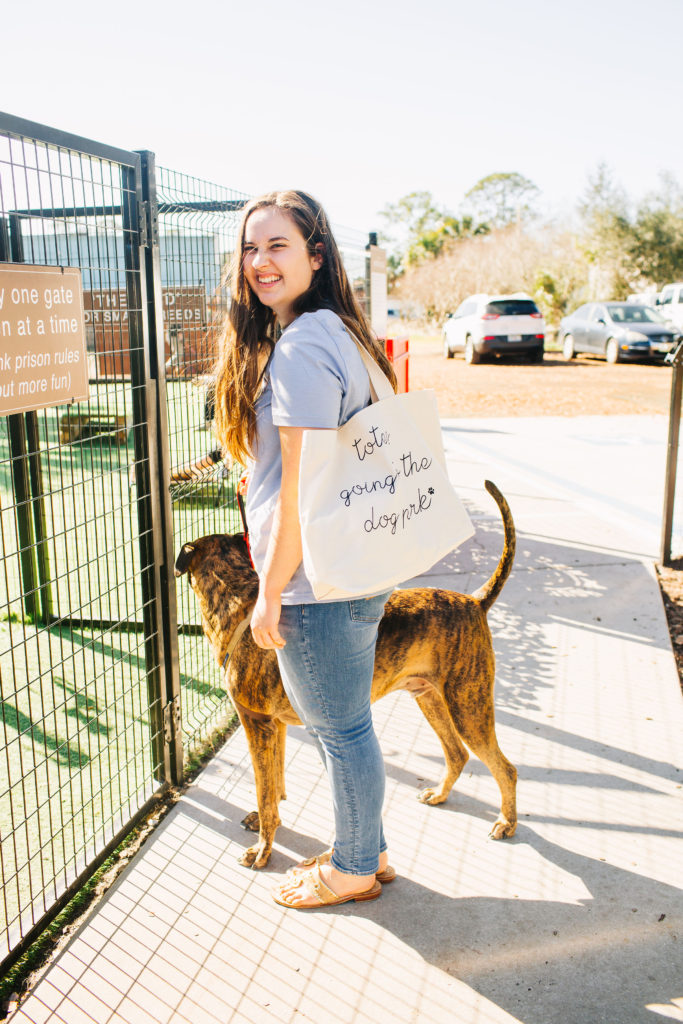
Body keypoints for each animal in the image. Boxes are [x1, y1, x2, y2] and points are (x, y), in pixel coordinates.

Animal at [175, 477, 518, 864]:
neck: (241, 603)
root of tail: (475, 601)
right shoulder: (275, 727)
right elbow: (274, 783)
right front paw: (266, 819)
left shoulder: (256, 725)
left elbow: (265, 792)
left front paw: (263, 848)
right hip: (431, 699)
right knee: (457, 754)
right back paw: (440, 794)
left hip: (468, 708)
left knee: (505, 768)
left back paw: (507, 822)